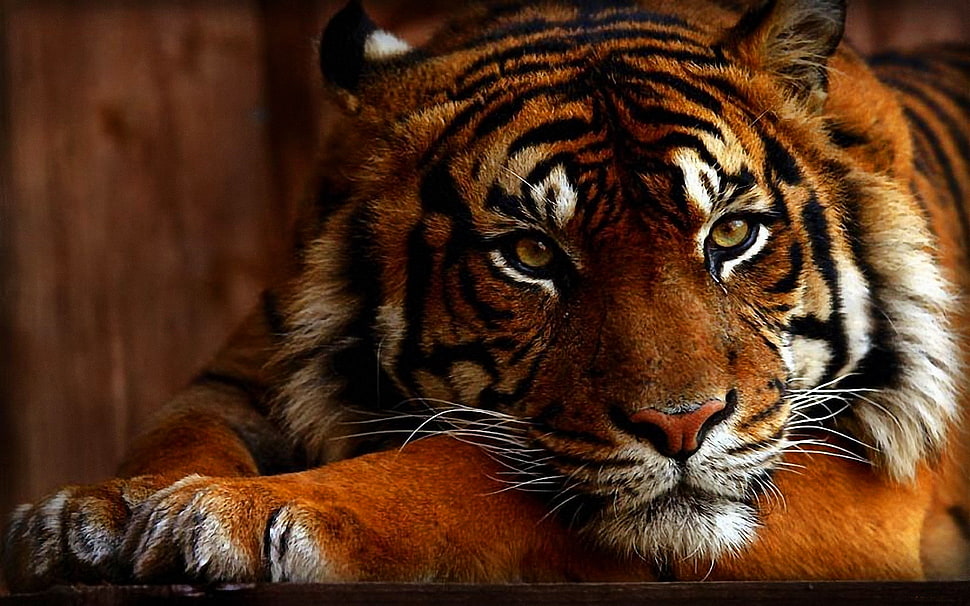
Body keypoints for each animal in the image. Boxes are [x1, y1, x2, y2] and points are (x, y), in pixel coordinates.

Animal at [3, 0, 969, 590]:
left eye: (731, 235)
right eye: (532, 254)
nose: (682, 427)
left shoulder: (862, 477)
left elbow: (462, 466)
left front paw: (240, 515)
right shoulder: (244, 374)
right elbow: (176, 433)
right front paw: (93, 515)